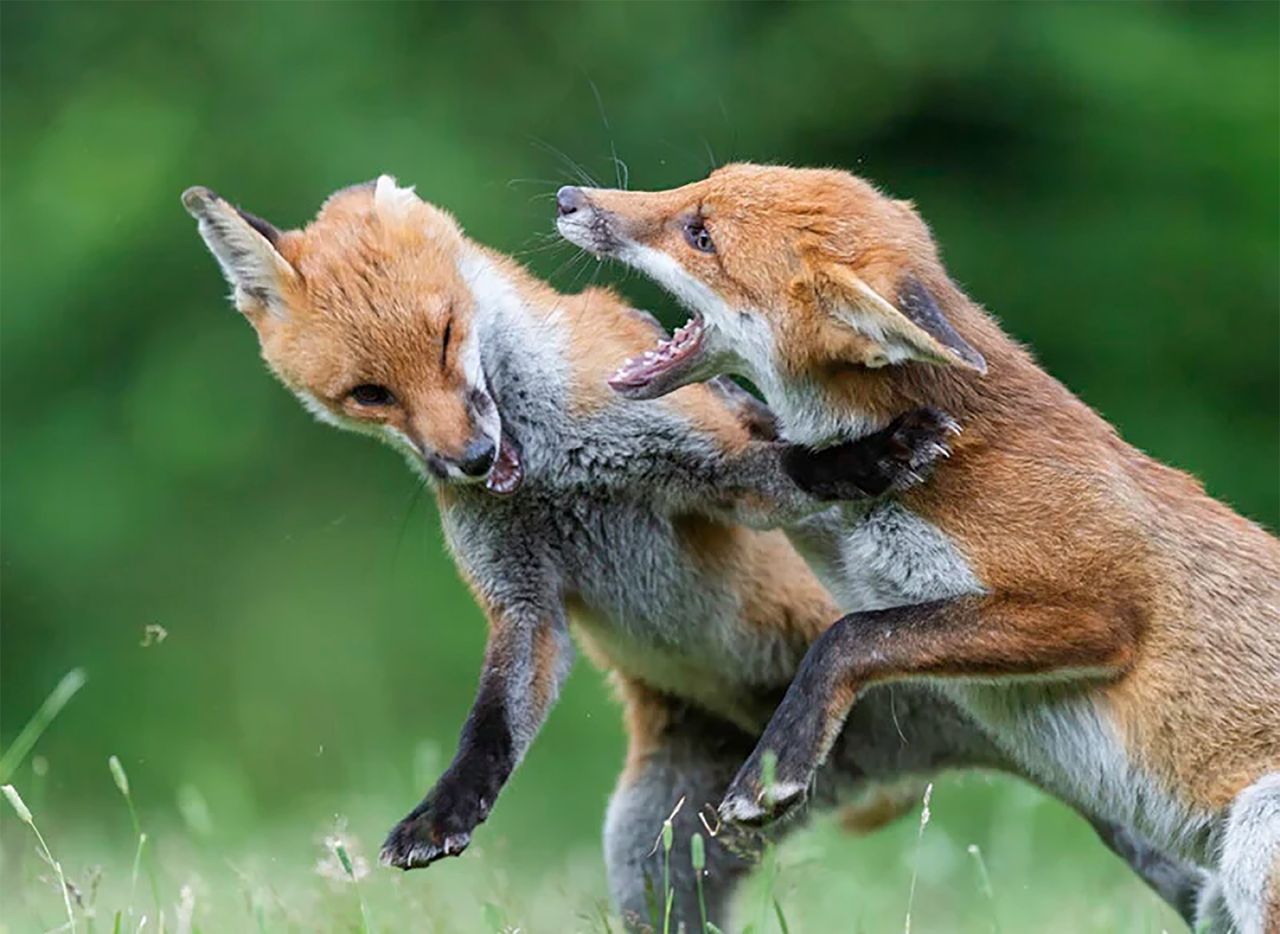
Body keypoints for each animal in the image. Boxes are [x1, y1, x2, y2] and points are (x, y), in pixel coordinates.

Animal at [558, 163, 1280, 926]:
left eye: (701, 235)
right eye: (699, 184)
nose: (569, 200)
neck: (964, 460)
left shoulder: (1095, 614)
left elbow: (850, 638)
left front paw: (774, 769)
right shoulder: (847, 546)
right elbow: (779, 464)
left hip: (1255, 841)